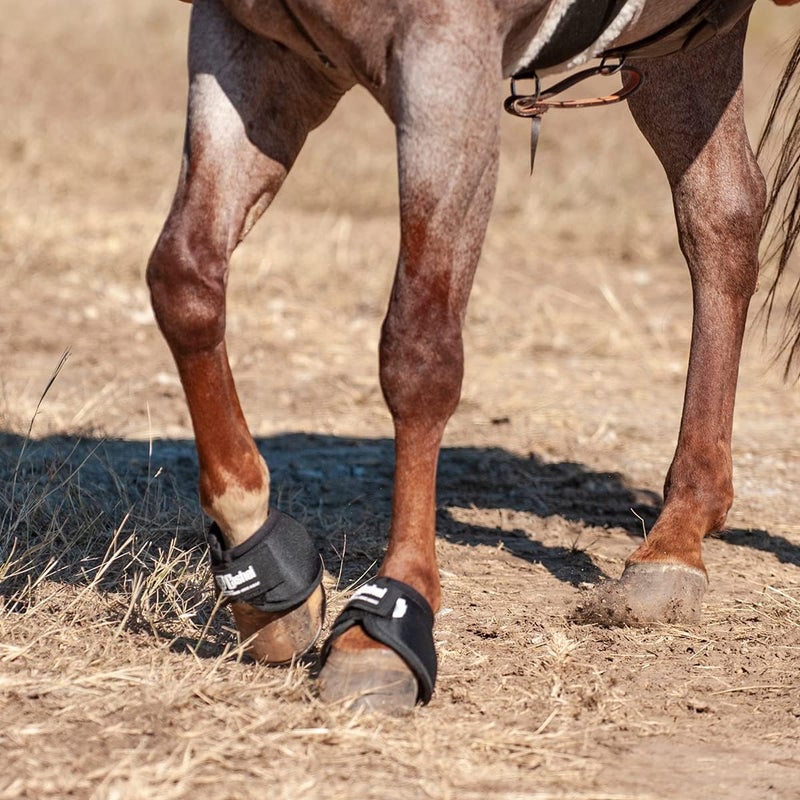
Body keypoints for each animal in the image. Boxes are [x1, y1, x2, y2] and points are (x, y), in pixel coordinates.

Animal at [147, 0, 800, 712]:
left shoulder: (448, 68)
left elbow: (418, 353)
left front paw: (387, 618)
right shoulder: (252, 47)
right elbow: (184, 282)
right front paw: (263, 571)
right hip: (681, 44)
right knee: (722, 214)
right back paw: (675, 542)